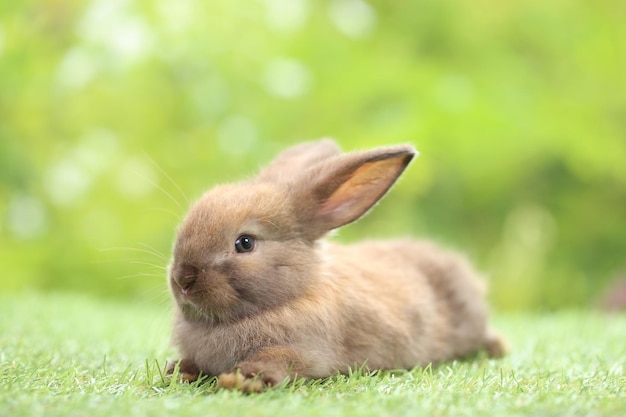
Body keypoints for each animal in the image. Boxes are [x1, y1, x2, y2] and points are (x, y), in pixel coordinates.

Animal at [167, 139, 508, 390]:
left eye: (245, 243)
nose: (183, 280)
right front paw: (178, 371)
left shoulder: (302, 350)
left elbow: (277, 362)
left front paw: (242, 380)